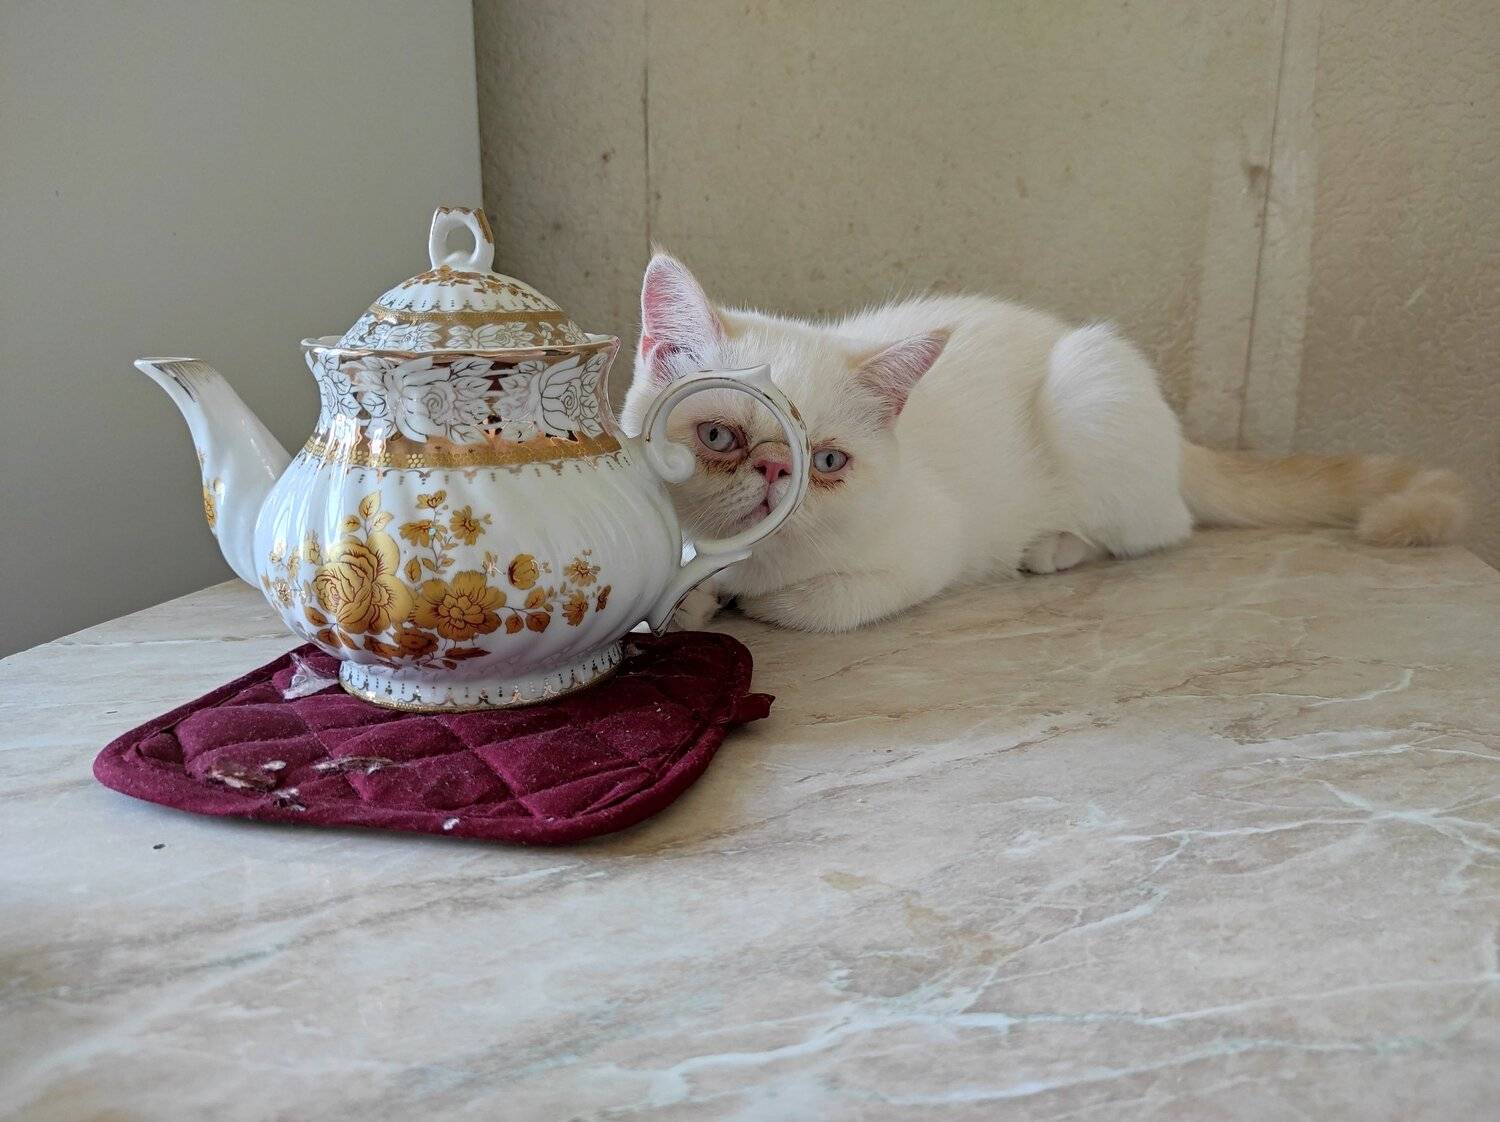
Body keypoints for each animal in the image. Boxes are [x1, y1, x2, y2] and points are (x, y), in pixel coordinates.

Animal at [619, 254, 1469, 633]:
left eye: (827, 461)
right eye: (719, 434)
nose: (774, 468)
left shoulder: (923, 552)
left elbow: (807, 604)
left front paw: (744, 598)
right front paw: (699, 596)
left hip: (1088, 399)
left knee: (1163, 529)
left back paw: (1054, 546)